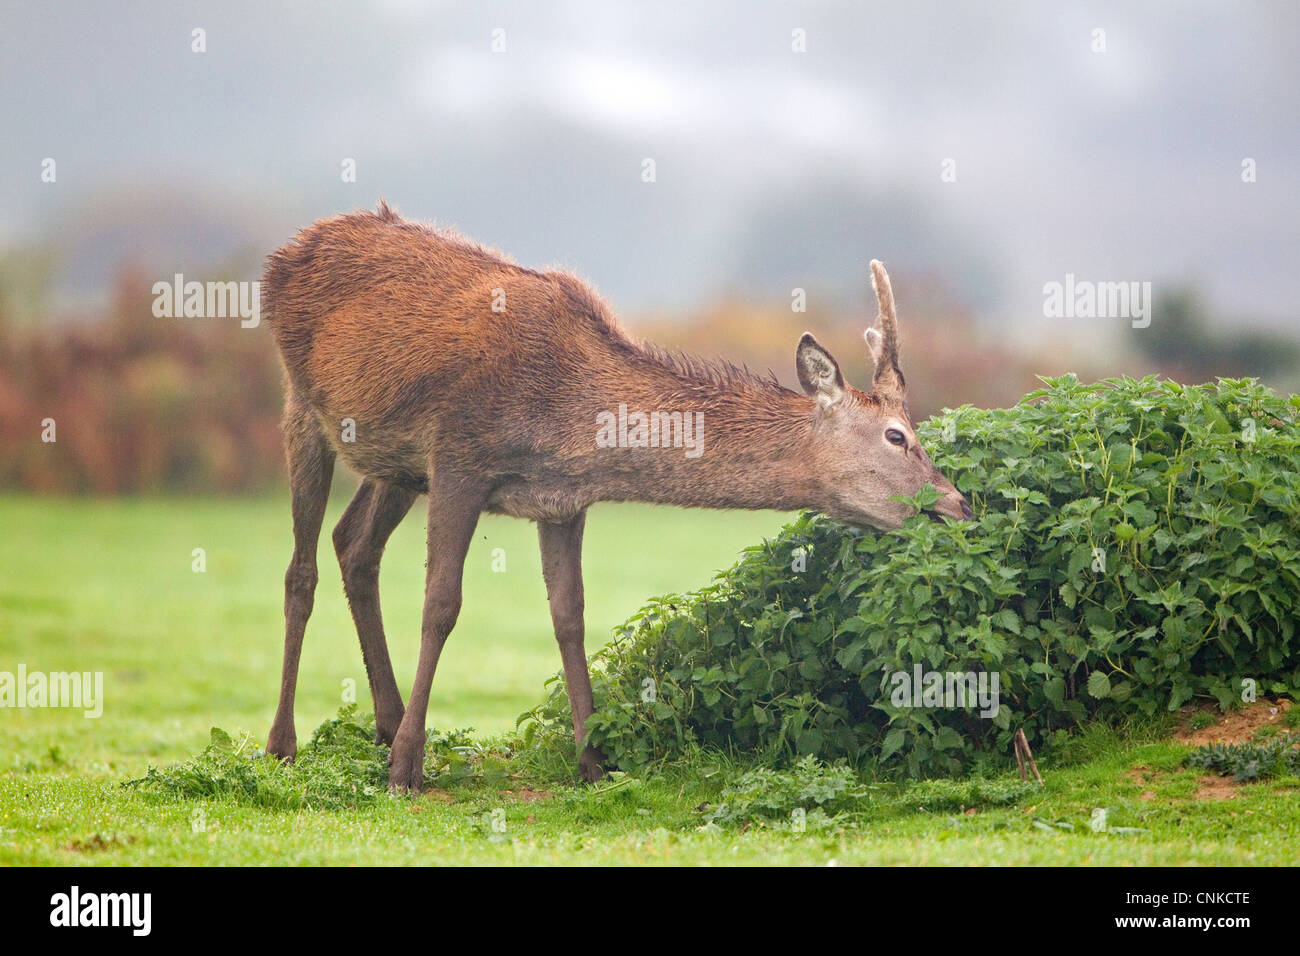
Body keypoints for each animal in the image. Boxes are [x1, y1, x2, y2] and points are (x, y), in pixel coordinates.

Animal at [263, 197, 972, 790]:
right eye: (898, 436)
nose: (958, 505)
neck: (572, 421)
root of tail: (287, 250)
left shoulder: (560, 500)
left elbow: (570, 615)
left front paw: (593, 762)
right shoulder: (459, 458)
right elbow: (441, 605)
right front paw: (408, 768)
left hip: (395, 462)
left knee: (354, 544)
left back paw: (383, 724)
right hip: (304, 402)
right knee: (301, 569)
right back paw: (285, 744)